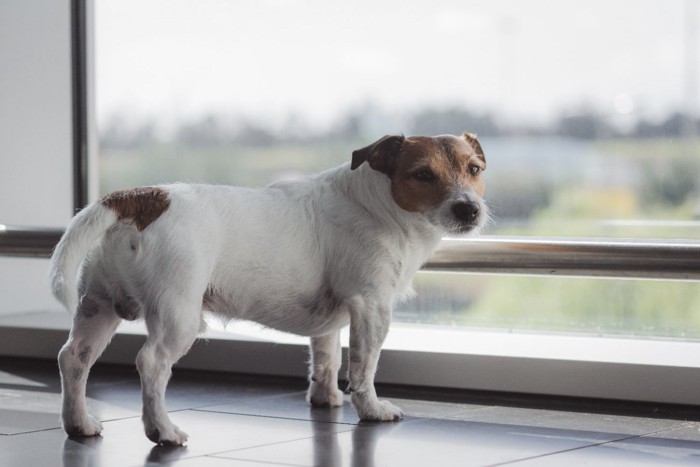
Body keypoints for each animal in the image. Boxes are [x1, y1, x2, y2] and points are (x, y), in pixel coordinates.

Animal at [49, 133, 486, 446]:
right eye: (423, 174)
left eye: (474, 168)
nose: (470, 209)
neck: (376, 204)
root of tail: (138, 198)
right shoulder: (372, 307)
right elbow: (364, 368)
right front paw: (372, 409)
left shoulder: (332, 321)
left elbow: (326, 359)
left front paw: (326, 398)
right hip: (177, 317)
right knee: (151, 363)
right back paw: (163, 431)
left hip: (97, 307)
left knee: (73, 357)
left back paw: (78, 423)